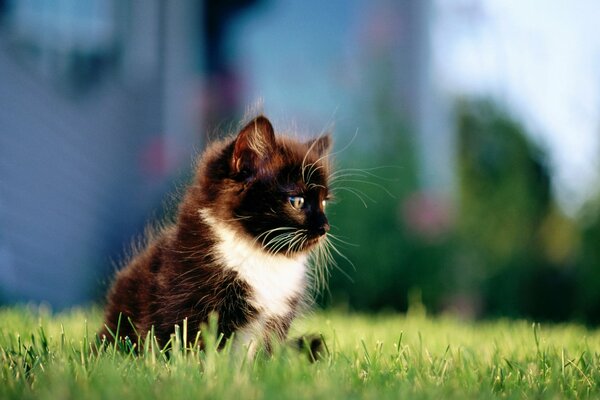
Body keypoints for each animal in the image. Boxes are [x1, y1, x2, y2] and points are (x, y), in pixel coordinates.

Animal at [100, 115, 330, 356]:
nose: (325, 227)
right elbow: (189, 345)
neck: (261, 255)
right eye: (297, 201)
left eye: (324, 202)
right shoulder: (186, 297)